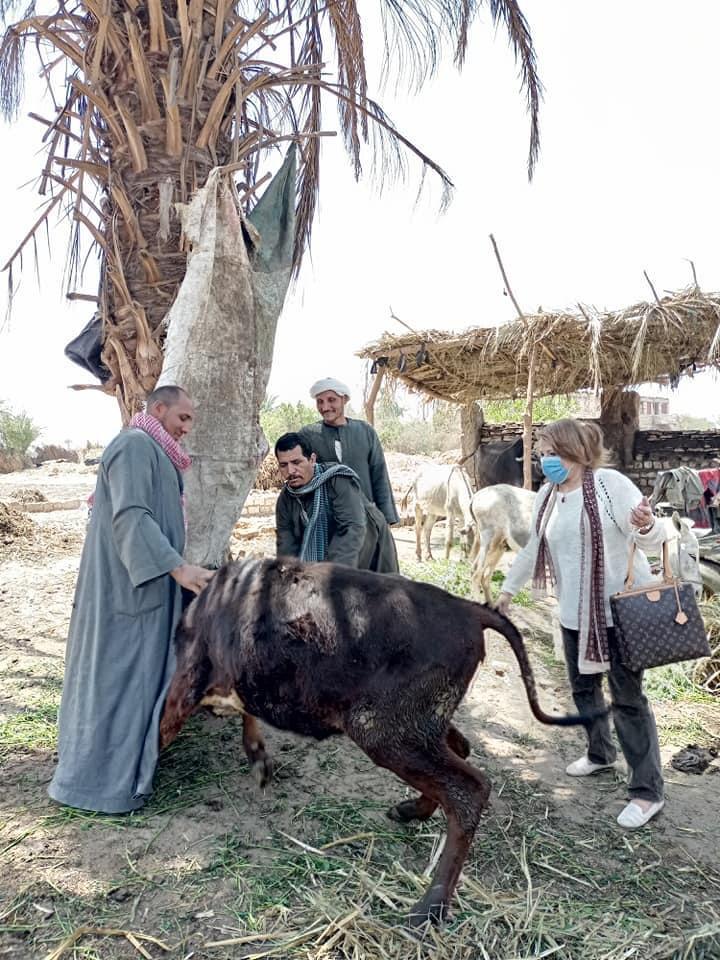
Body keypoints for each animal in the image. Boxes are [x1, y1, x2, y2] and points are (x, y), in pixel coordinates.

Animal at [160, 560, 600, 928]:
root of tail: (469, 609)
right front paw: (258, 759)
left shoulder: (186, 681)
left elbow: (163, 726)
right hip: (420, 729)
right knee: (460, 752)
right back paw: (411, 811)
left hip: (382, 733)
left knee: (469, 789)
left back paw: (427, 909)